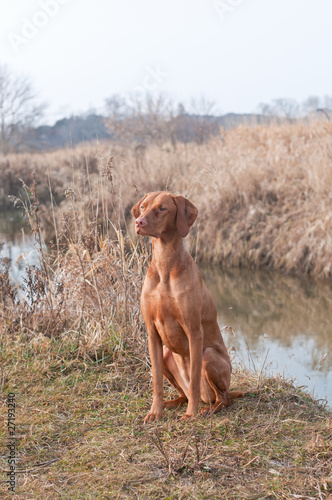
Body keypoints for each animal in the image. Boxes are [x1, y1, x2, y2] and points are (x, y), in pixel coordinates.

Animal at [132, 191, 244, 422]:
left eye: (162, 208)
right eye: (143, 206)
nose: (139, 222)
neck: (165, 265)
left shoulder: (194, 330)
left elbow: (193, 379)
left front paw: (190, 414)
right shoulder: (151, 332)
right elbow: (156, 381)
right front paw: (154, 412)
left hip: (209, 356)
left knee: (222, 398)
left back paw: (206, 409)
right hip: (166, 354)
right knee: (183, 394)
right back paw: (170, 404)